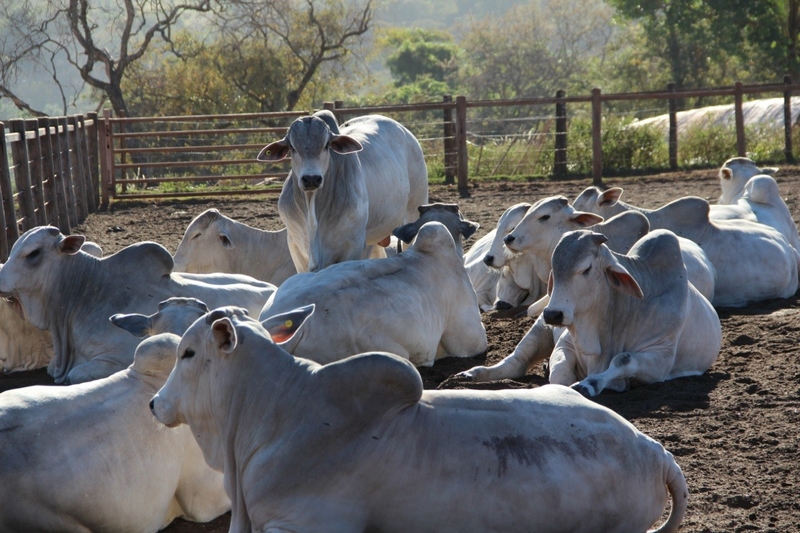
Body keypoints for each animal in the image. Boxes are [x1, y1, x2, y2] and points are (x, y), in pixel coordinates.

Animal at [260, 110, 428, 272]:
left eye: (326, 145)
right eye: (293, 148)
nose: (311, 178)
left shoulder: (353, 246)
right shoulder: (295, 246)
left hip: (413, 210)